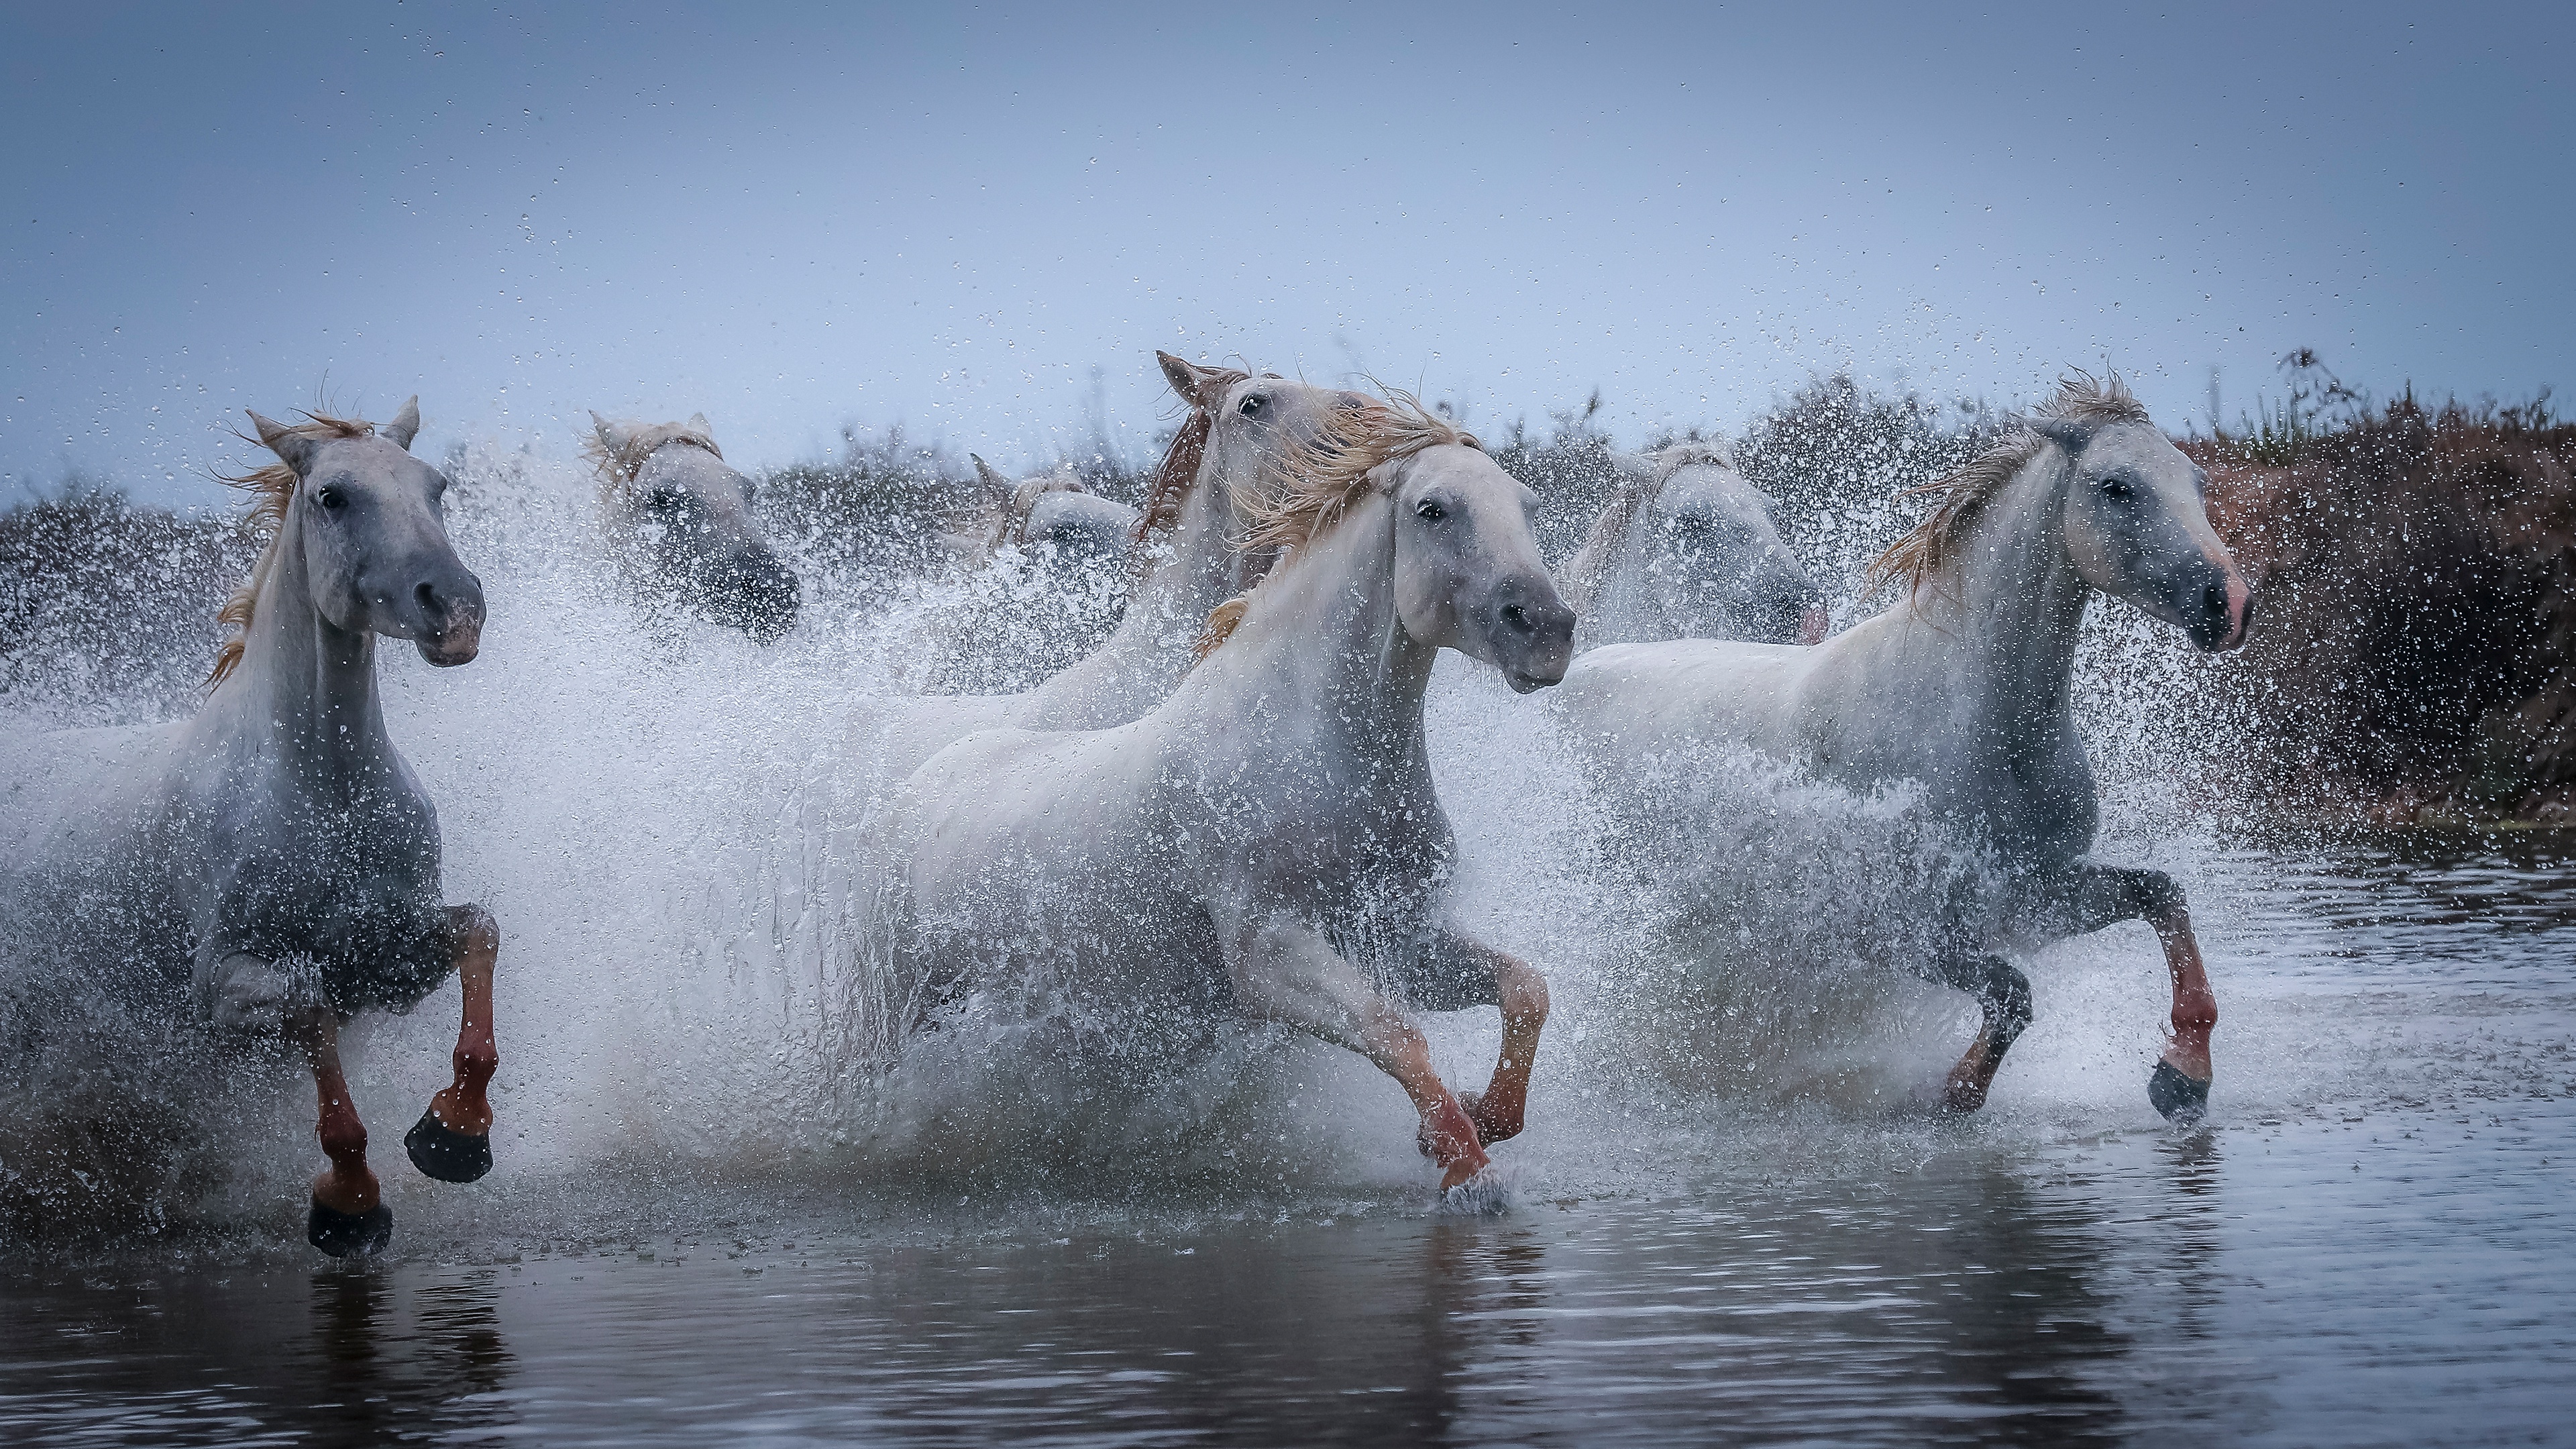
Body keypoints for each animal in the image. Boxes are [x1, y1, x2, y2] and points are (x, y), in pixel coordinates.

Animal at [3, 396, 502, 1252]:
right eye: (333, 496)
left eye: (434, 486)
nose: (455, 608)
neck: (325, 795)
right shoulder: (223, 983)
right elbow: (308, 1007)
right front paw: (348, 1203)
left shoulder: (385, 952)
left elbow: (479, 931)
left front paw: (455, 1132)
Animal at [865, 392, 1566, 1185]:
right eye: (1433, 508)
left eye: (1529, 506)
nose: (1549, 628)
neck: (1308, 745)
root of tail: (919, 783)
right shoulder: (1267, 954)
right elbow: (1392, 1031)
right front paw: (1462, 1166)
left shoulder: (1397, 933)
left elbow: (1525, 989)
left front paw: (1484, 1117)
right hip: (907, 1009)